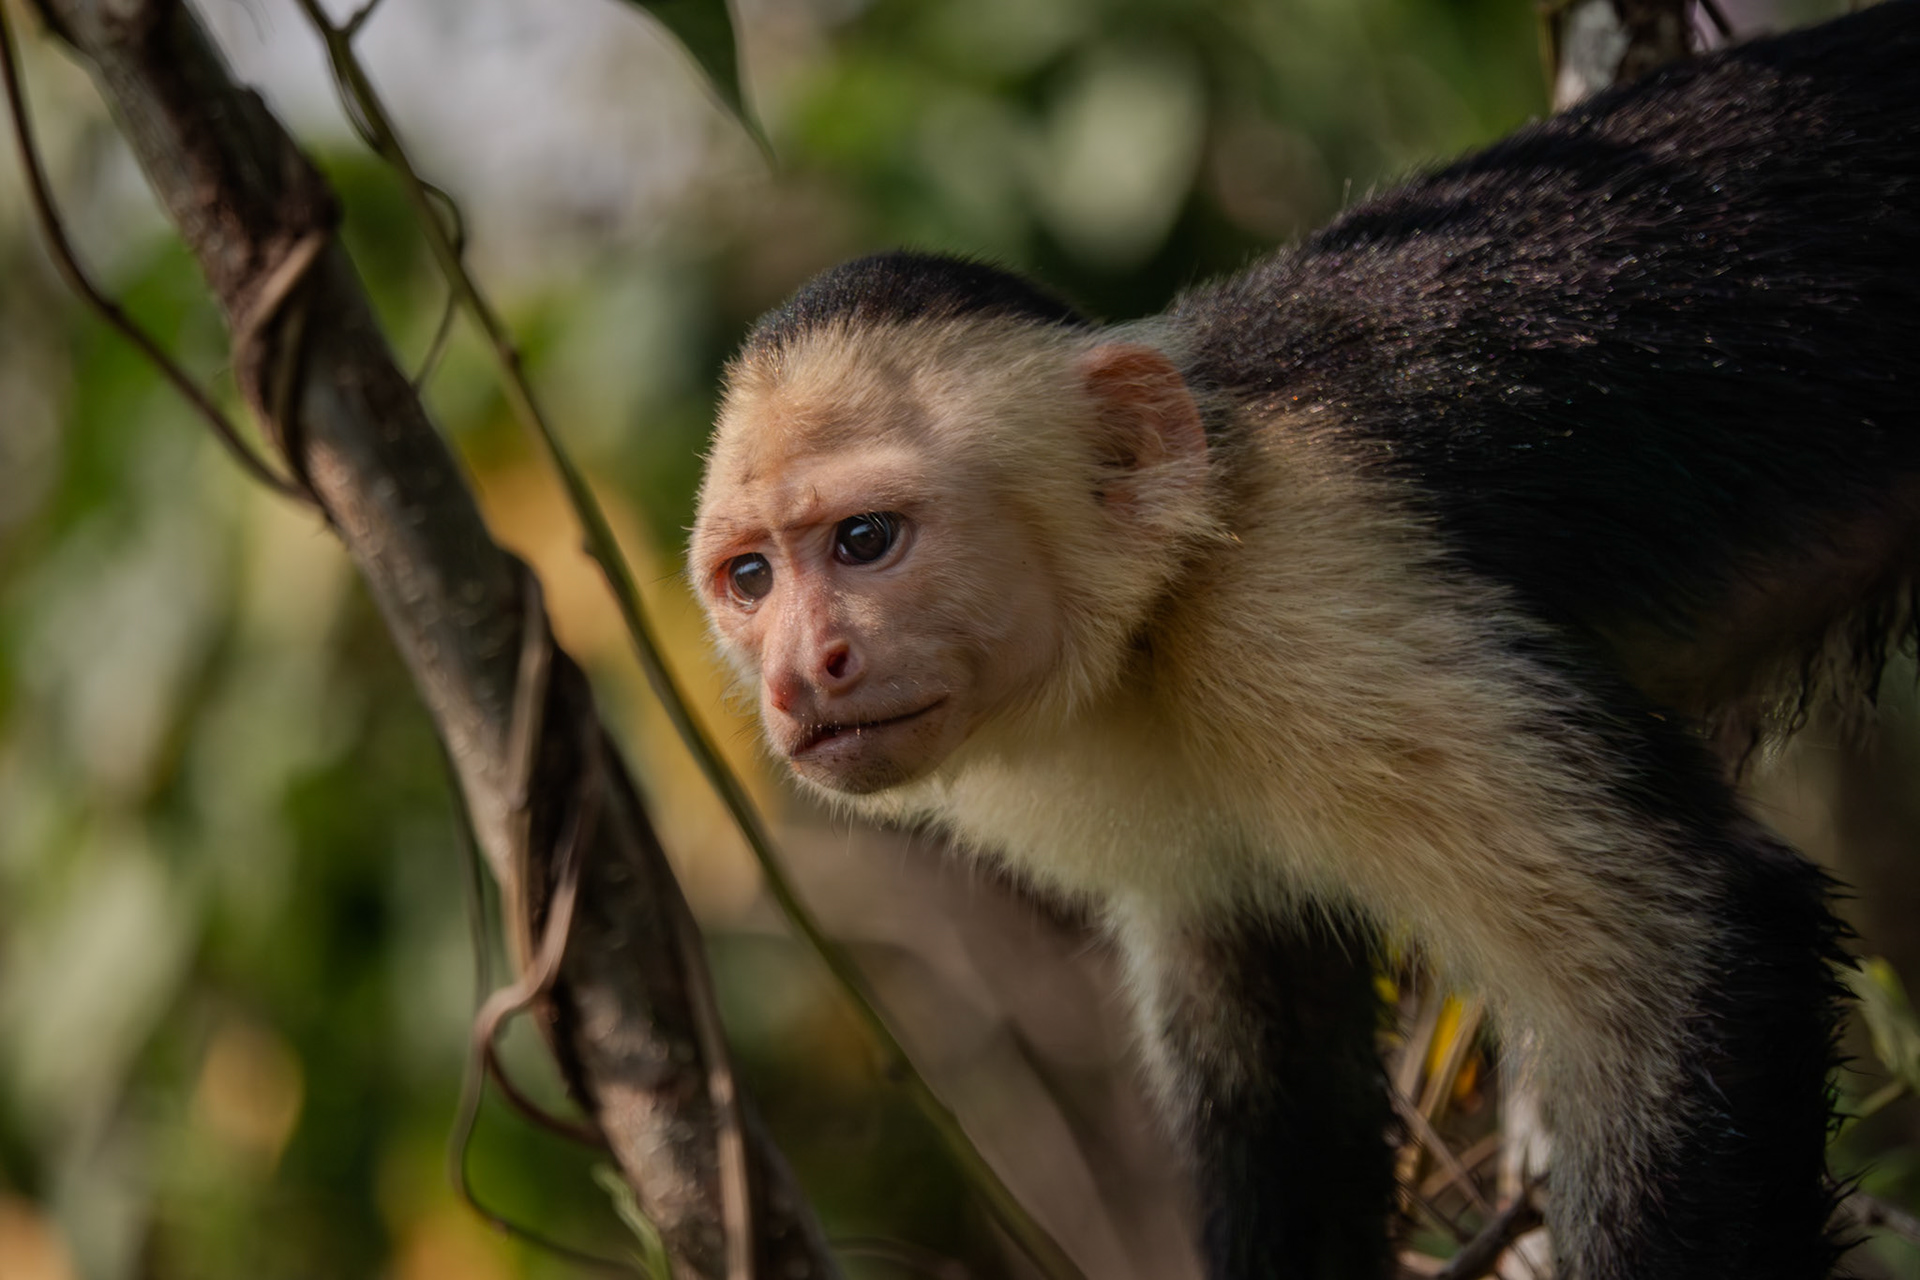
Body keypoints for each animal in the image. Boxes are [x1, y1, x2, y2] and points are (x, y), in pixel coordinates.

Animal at [688, 4, 1920, 1277]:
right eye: (750, 578)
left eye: (866, 540)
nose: (799, 671)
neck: (1162, 608)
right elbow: (1272, 1054)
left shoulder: (1304, 597)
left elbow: (1693, 955)